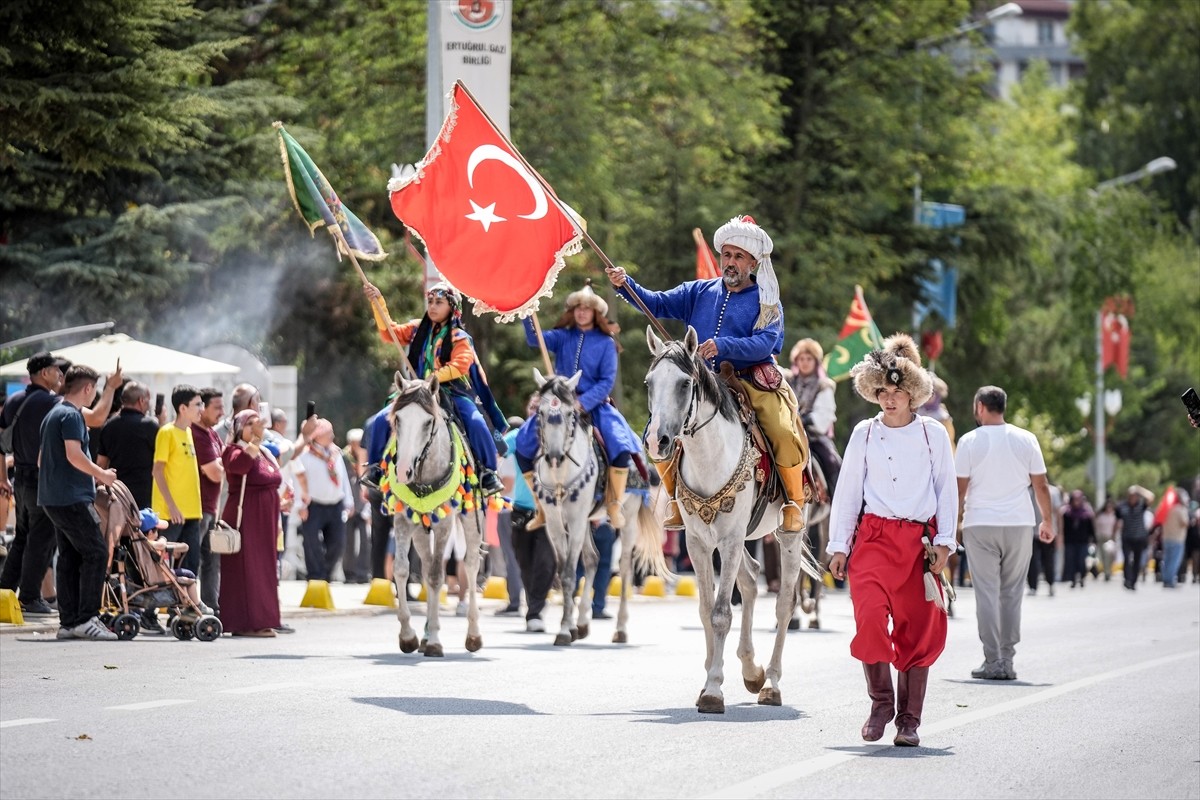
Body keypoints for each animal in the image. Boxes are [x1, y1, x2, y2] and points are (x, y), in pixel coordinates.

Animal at [532, 371, 672, 647]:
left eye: (569, 414)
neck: (561, 475)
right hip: (587, 522)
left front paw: (563, 630)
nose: (554, 456)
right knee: (593, 559)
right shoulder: (555, 522)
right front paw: (570, 626)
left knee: (625, 569)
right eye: (540, 413)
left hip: (627, 520)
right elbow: (565, 570)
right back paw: (582, 624)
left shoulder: (575, 521)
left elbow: (568, 574)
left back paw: (620, 629)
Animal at [648, 326, 825, 714]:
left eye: (685, 383)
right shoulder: (698, 543)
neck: (710, 455)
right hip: (741, 536)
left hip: (786, 535)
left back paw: (770, 682)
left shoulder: (728, 540)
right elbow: (705, 610)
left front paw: (713, 690)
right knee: (751, 578)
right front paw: (709, 680)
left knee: (784, 603)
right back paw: (751, 670)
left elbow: (720, 613)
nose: (657, 441)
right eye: (649, 382)